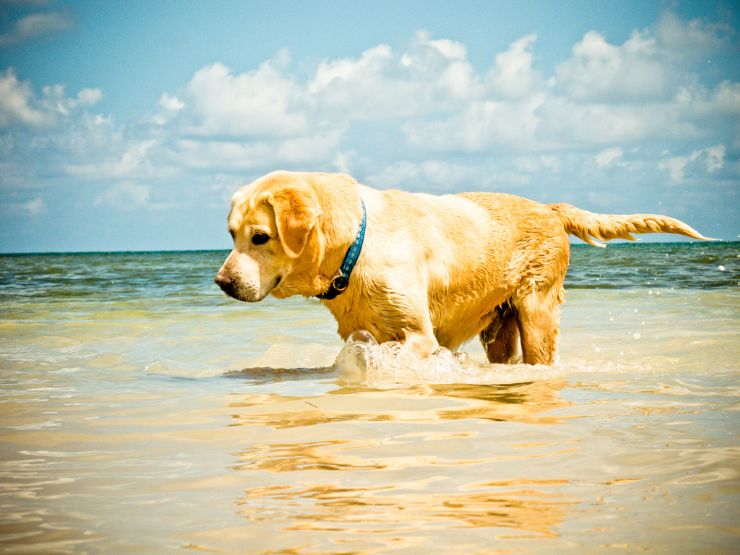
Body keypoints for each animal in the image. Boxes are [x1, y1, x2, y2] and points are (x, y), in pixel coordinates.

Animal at [215, 172, 712, 368]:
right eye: (231, 234)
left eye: (260, 237)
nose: (221, 282)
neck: (354, 244)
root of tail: (549, 208)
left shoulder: (417, 335)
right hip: (500, 327)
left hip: (537, 310)